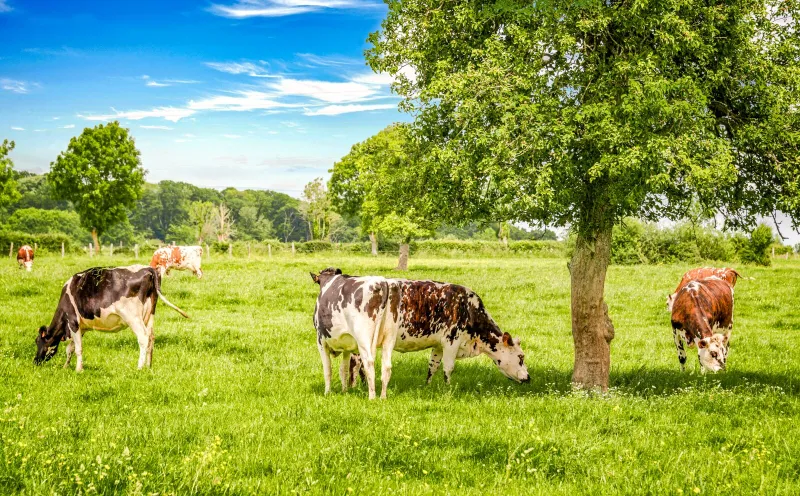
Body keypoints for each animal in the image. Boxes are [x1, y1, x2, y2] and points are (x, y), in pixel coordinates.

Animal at [34, 265, 189, 371]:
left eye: (37, 341)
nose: (35, 361)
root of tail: (148, 269)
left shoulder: (73, 321)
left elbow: (77, 348)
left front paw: (78, 369)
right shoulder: (81, 327)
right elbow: (70, 349)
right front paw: (66, 366)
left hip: (133, 317)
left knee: (143, 337)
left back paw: (139, 367)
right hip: (149, 315)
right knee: (151, 337)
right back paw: (148, 366)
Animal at [311, 268, 529, 399]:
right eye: (521, 357)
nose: (528, 378)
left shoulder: (438, 345)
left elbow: (432, 366)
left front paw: (428, 386)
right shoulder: (451, 340)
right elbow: (448, 368)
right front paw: (448, 390)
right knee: (359, 364)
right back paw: (358, 388)